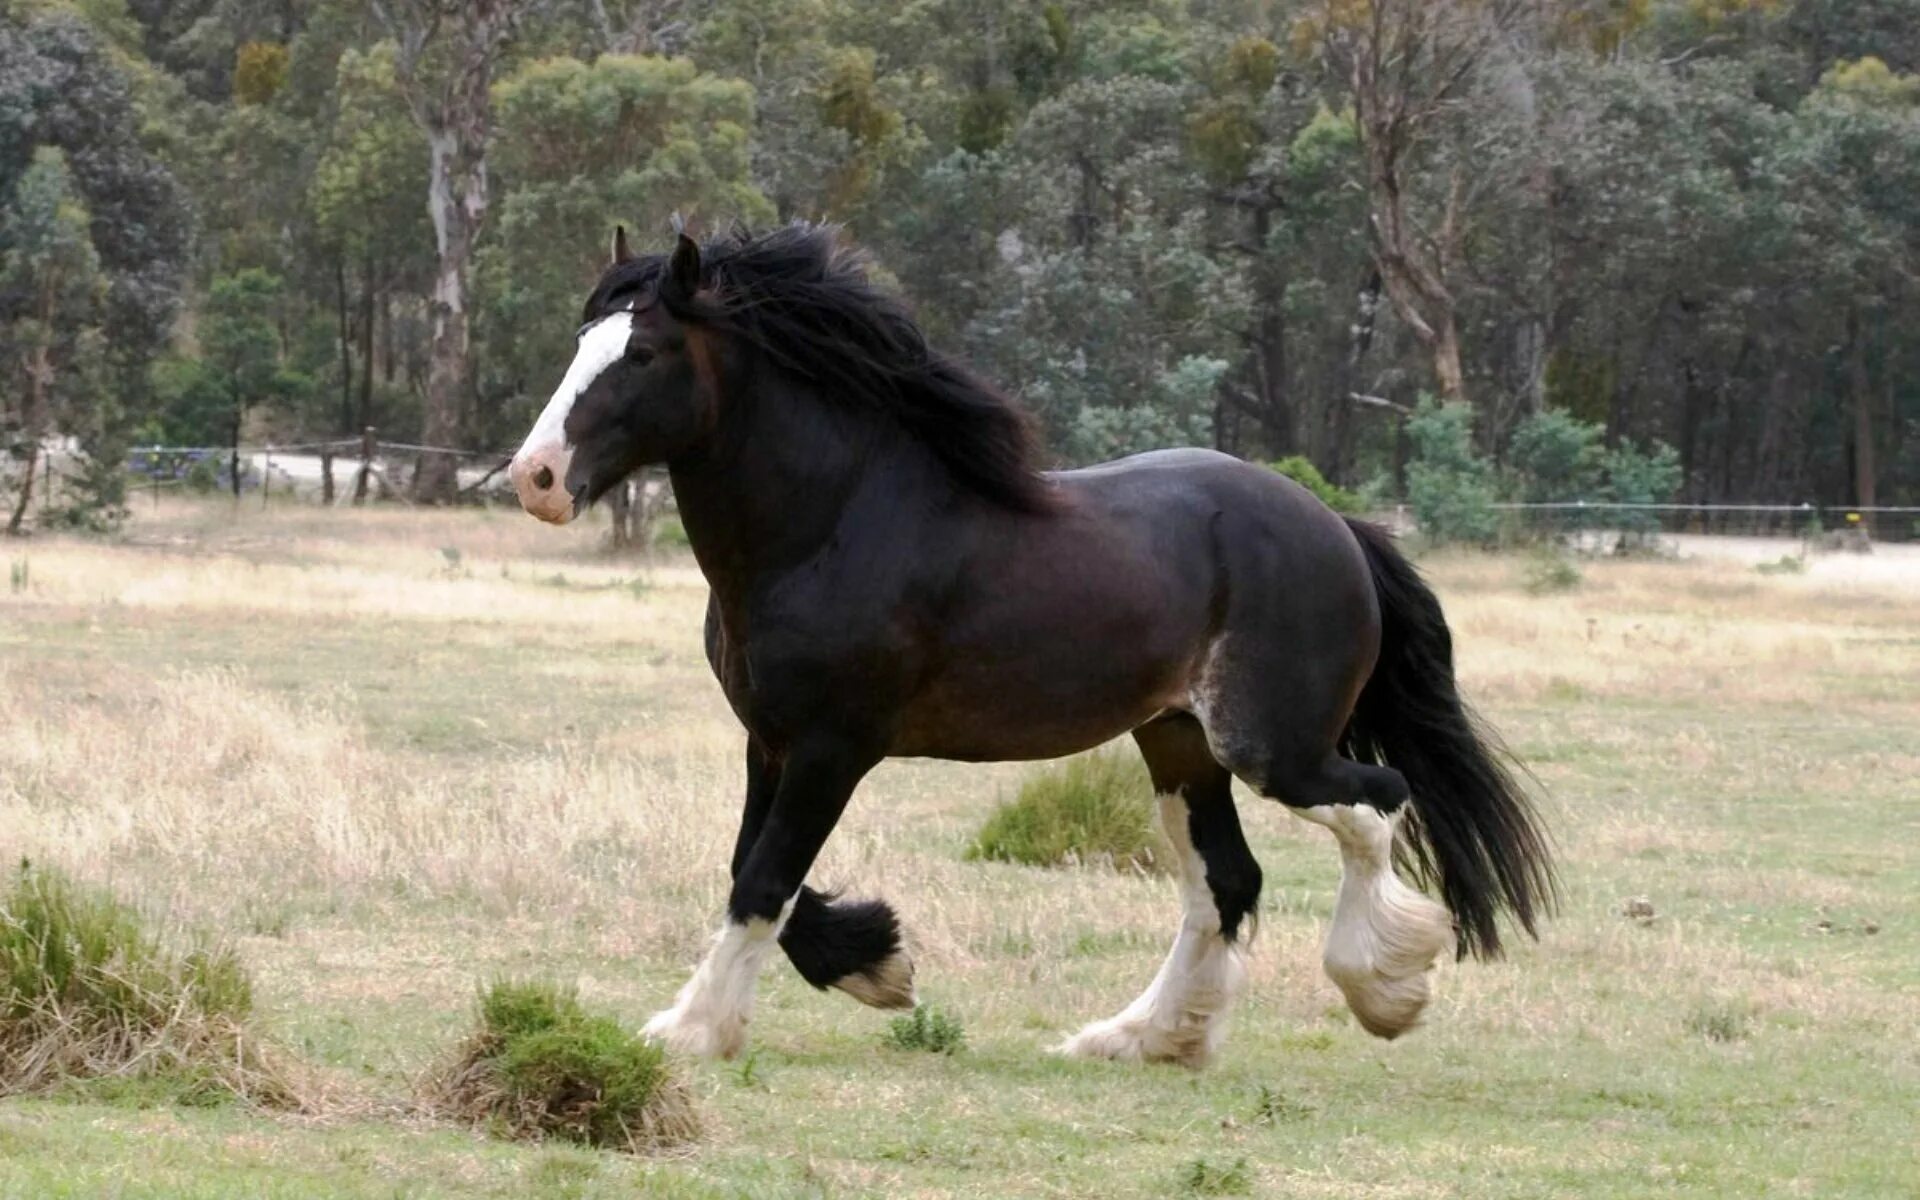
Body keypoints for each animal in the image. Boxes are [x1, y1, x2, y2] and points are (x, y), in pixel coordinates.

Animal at [503, 224, 1551, 1067]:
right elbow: (757, 874)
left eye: (644, 352)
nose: (536, 477)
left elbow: (765, 877)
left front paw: (691, 1030)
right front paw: (875, 963)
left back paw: (1384, 989)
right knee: (1225, 882)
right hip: (1178, 743)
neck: (833, 525)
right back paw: (1142, 1038)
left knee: (1376, 803)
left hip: (1272, 748)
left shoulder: (836, 747)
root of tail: (1338, 528)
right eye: (582, 343)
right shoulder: (772, 739)